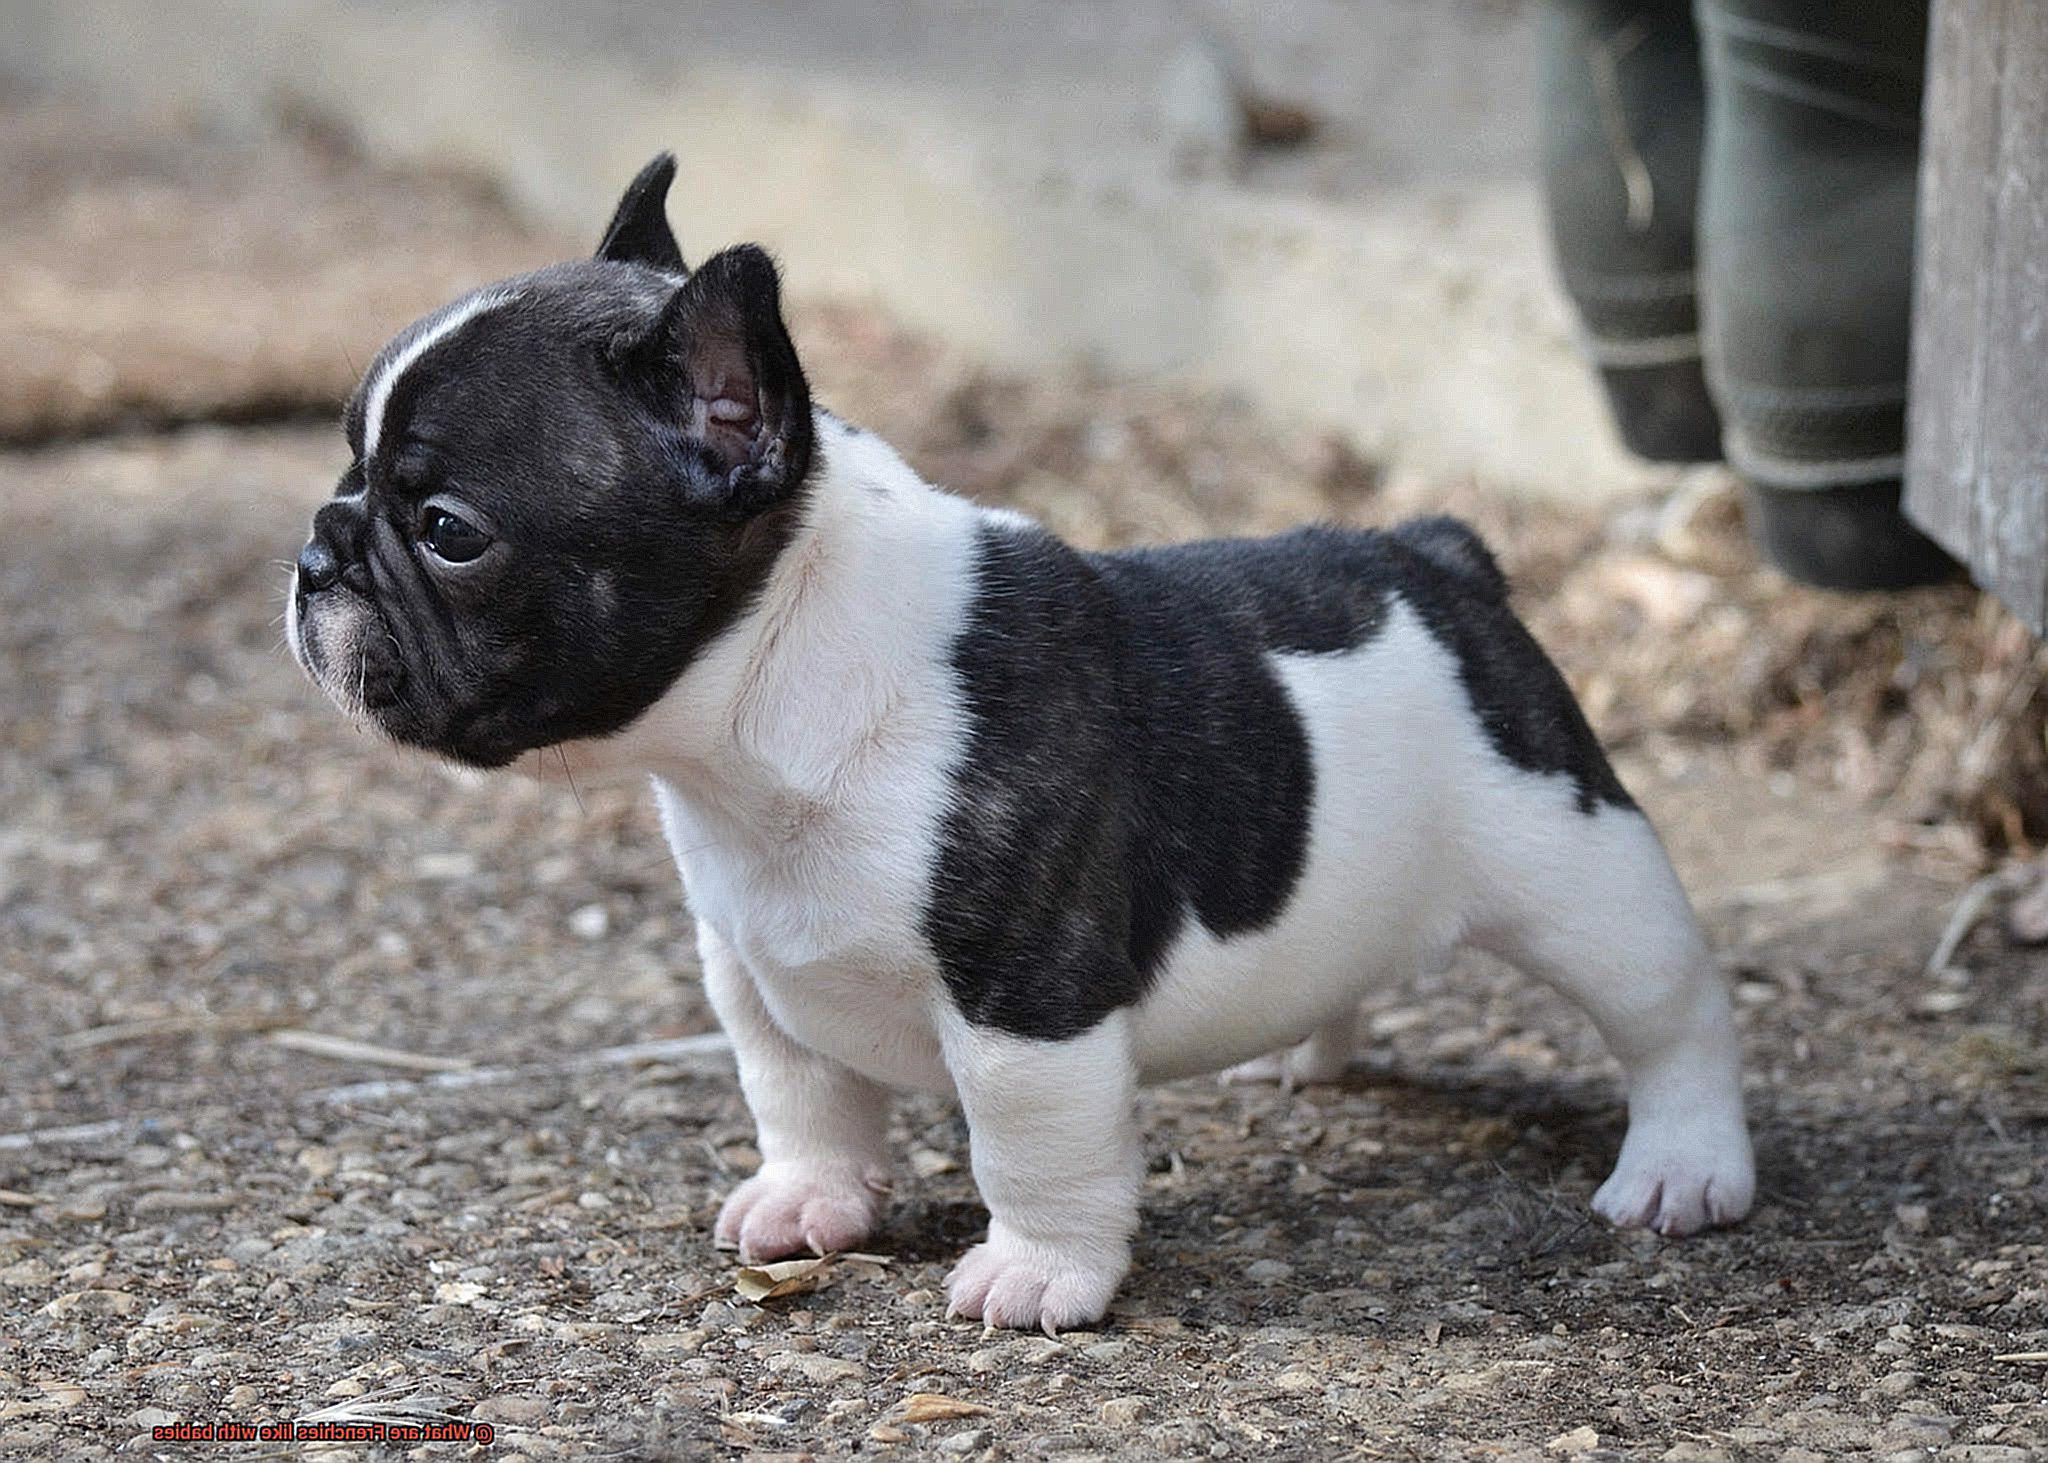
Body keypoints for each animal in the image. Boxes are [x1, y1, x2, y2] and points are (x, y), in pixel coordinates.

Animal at [292, 153, 1761, 1327]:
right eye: (346, 470)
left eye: (447, 529)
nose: (314, 554)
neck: (765, 705)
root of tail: (1437, 555)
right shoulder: (748, 968)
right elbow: (800, 1095)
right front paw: (807, 1202)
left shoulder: (1025, 1004)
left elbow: (1029, 1148)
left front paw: (1040, 1272)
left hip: (1573, 865)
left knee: (1671, 1009)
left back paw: (1683, 1165)